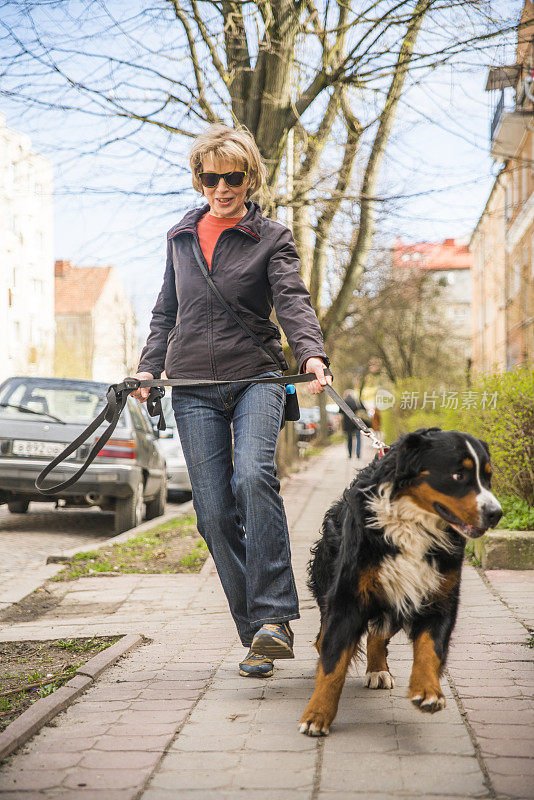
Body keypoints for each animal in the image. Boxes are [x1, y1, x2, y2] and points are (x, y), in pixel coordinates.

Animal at [302, 428, 502, 736]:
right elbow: (333, 661)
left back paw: (378, 670)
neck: (413, 526)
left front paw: (428, 691)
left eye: (488, 477)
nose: (496, 513)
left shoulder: (440, 596)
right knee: (325, 637)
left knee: (378, 633)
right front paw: (317, 714)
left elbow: (430, 648)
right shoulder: (349, 596)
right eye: (458, 475)